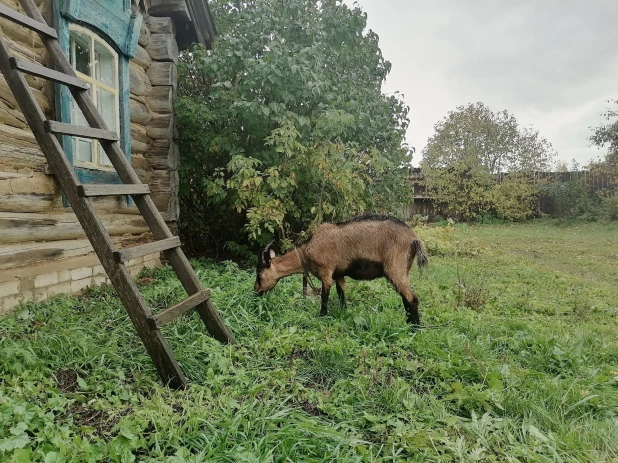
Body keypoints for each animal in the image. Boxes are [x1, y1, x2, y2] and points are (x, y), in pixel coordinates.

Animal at [253, 215, 426, 326]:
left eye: (259, 274)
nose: (256, 291)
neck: (307, 251)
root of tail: (414, 238)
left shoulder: (326, 273)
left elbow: (324, 296)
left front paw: (322, 316)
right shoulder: (339, 275)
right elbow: (341, 294)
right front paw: (343, 313)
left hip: (395, 268)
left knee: (412, 298)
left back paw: (414, 328)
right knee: (405, 297)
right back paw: (408, 322)